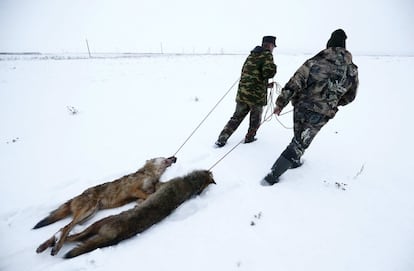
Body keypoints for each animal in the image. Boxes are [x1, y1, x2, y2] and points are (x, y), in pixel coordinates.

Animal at [34, 156, 176, 256]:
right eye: (164, 156)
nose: (174, 158)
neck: (149, 174)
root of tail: (76, 197)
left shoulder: (144, 191)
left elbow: (147, 196)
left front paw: (140, 203)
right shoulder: (134, 189)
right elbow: (147, 195)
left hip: (87, 216)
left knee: (63, 228)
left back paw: (44, 247)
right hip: (87, 211)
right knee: (66, 227)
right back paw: (55, 248)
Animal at [64, 170, 217, 260]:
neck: (191, 185)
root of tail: (114, 236)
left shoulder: (161, 185)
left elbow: (156, 185)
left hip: (98, 223)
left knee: (77, 236)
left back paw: (63, 239)